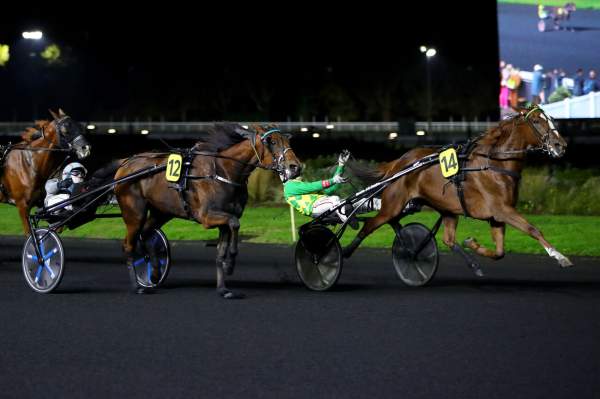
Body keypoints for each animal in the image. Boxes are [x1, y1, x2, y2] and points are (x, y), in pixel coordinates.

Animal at [113, 123, 302, 298]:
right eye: (272, 141)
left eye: (287, 140)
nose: (296, 167)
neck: (223, 171)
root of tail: (125, 164)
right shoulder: (207, 217)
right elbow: (234, 223)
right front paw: (230, 264)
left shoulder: (224, 221)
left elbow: (221, 251)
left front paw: (223, 288)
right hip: (134, 214)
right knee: (129, 245)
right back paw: (137, 286)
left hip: (161, 212)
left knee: (145, 234)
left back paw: (155, 273)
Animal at [346, 106, 572, 274]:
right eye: (536, 121)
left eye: (550, 119)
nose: (560, 145)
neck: (495, 163)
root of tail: (399, 163)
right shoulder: (502, 210)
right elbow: (533, 229)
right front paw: (560, 256)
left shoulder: (496, 216)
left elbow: (499, 252)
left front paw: (473, 243)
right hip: (393, 204)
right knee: (370, 225)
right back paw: (346, 250)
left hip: (439, 208)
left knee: (445, 238)